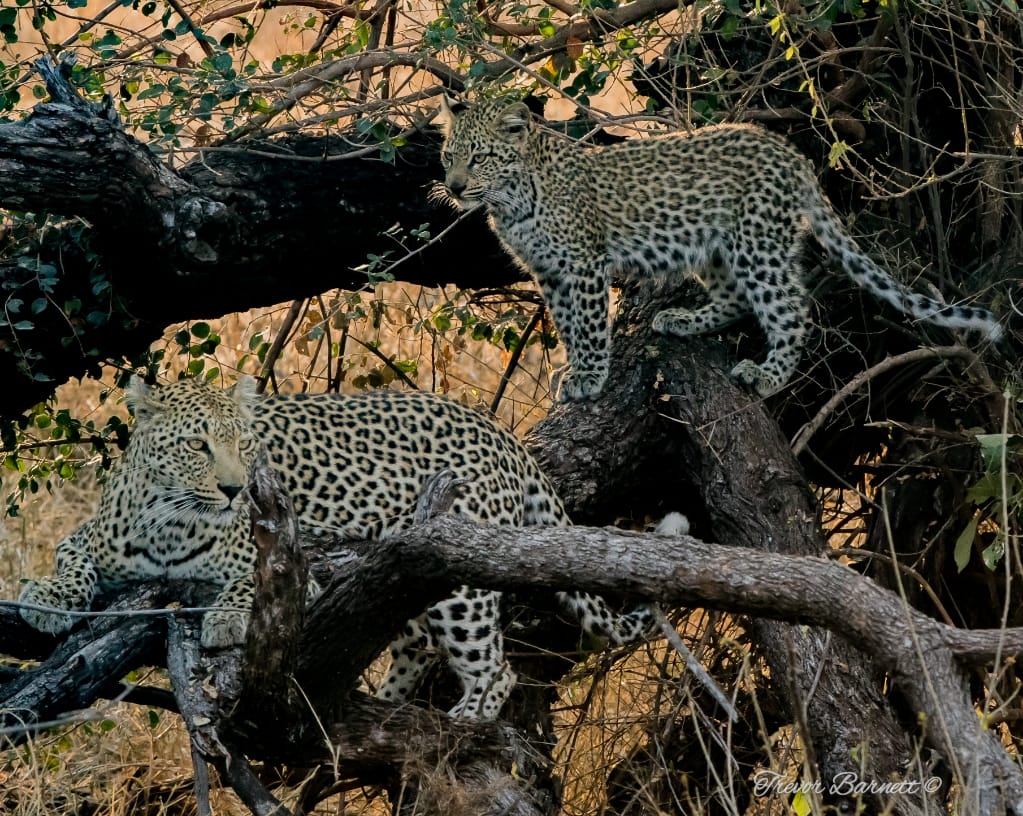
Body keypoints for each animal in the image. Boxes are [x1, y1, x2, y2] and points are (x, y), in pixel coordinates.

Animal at [18, 376, 654, 719]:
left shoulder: (296, 564)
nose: (234, 489)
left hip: (457, 565)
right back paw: (384, 704)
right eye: (198, 445)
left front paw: (225, 617)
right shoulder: (90, 537)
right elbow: (70, 558)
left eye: (244, 444)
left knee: (496, 671)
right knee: (414, 641)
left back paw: (464, 719)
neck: (168, 521)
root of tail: (500, 433)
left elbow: (246, 579)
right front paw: (44, 596)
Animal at [434, 95, 1002, 401]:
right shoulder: (549, 272)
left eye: (479, 157)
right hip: (714, 246)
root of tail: (789, 152)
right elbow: (568, 326)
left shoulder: (584, 264)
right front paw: (572, 368)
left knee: (792, 309)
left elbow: (590, 326)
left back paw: (767, 375)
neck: (512, 200)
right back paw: (683, 320)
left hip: (757, 244)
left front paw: (590, 377)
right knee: (733, 300)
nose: (455, 187)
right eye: (447, 155)